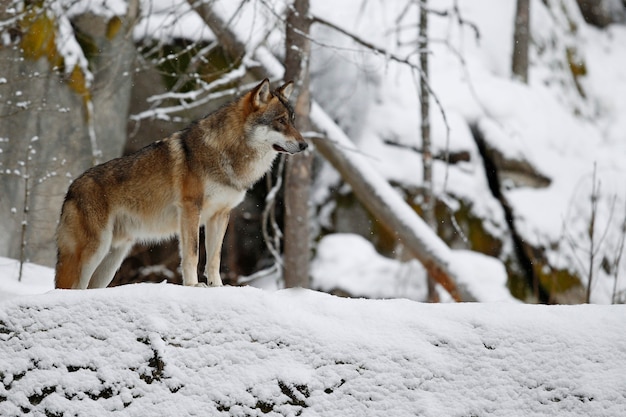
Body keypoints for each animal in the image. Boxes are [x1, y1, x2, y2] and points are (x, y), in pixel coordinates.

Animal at [55, 78, 308, 288]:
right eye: (281, 121)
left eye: (293, 121)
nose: (305, 145)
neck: (228, 154)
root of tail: (70, 189)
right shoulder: (190, 208)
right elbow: (192, 253)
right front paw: (193, 285)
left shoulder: (221, 215)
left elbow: (214, 258)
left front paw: (217, 286)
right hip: (92, 253)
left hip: (111, 260)